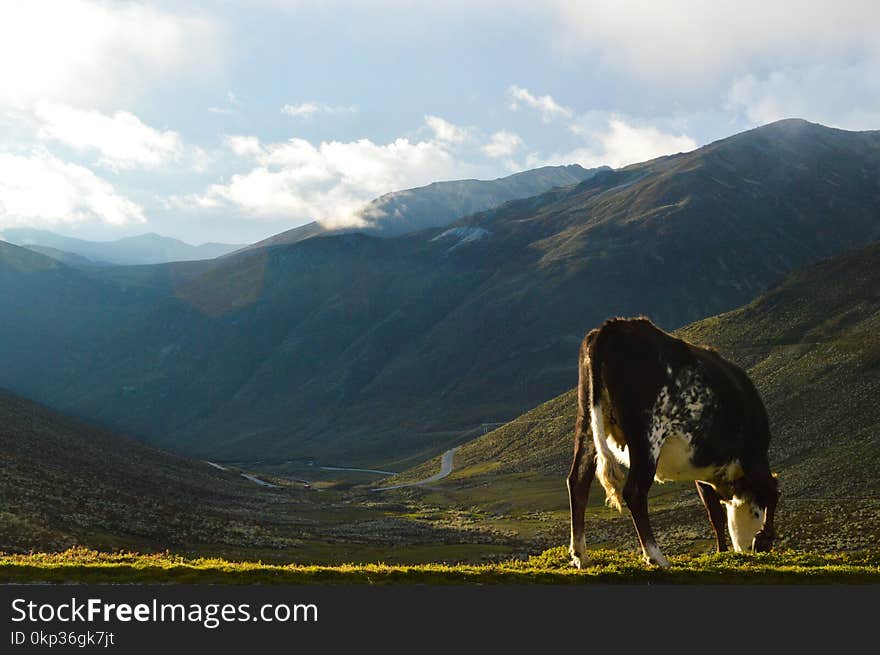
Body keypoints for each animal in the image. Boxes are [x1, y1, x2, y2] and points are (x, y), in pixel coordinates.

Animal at [564, 318, 776, 568]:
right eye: (756, 514)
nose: (746, 550)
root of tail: (613, 327)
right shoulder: (753, 458)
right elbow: (772, 491)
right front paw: (763, 538)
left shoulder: (702, 470)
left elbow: (713, 512)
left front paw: (721, 551)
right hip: (648, 433)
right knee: (634, 491)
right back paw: (656, 557)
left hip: (586, 420)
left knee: (578, 481)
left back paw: (581, 555)